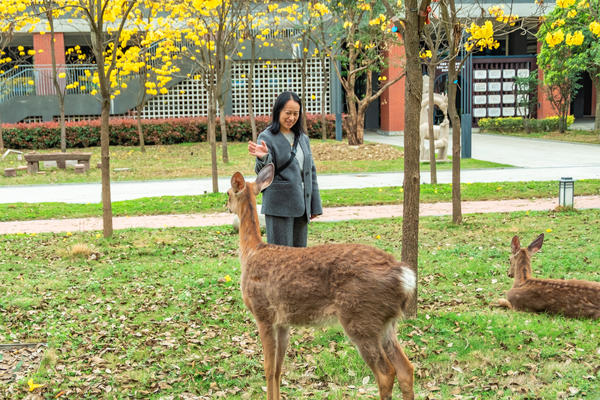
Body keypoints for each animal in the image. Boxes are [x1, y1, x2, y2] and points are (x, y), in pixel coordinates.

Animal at [226, 163, 416, 400]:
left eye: (228, 192)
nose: (226, 206)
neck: (251, 252)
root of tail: (404, 277)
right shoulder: (283, 321)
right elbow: (278, 369)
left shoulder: (264, 313)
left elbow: (268, 369)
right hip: (386, 324)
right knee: (406, 368)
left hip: (361, 318)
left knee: (386, 372)